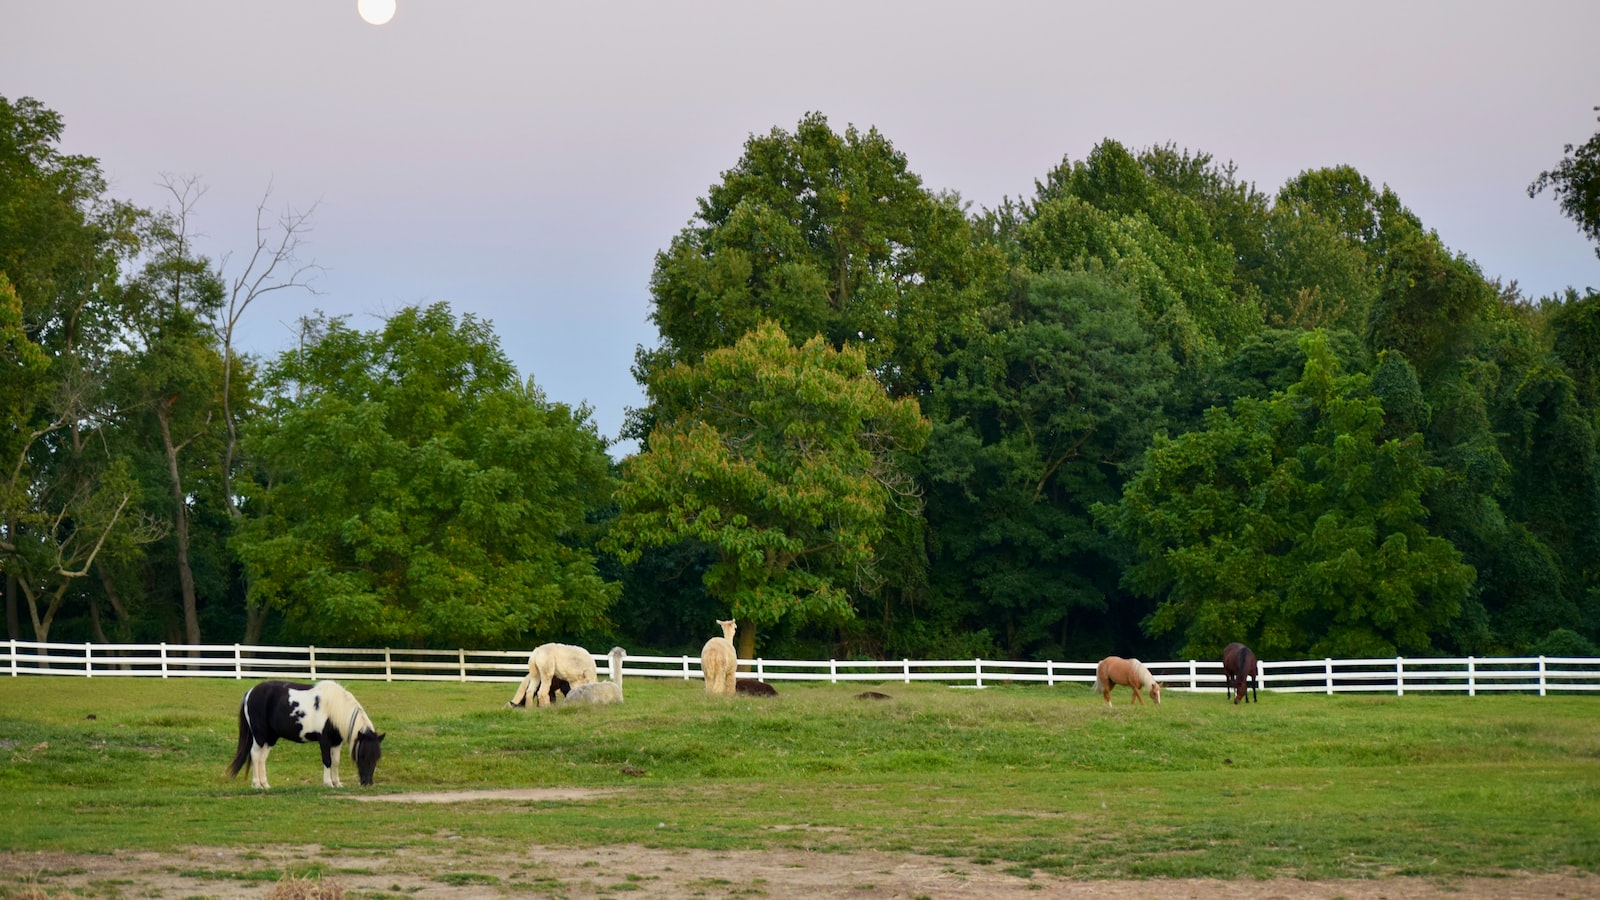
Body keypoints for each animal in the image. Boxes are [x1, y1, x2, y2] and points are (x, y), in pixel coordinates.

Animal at [225, 679, 384, 784]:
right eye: (361, 755)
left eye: (377, 757)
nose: (367, 782)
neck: (333, 708)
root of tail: (250, 692)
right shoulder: (324, 739)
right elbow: (327, 760)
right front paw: (328, 783)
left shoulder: (336, 741)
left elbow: (336, 762)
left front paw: (337, 783)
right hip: (260, 736)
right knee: (255, 755)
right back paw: (257, 784)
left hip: (270, 738)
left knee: (262, 759)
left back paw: (265, 785)